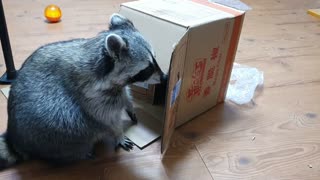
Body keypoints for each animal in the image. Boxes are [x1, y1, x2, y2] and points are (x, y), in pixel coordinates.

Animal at [0, 13, 164, 169]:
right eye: (148, 69)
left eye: (155, 59)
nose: (165, 77)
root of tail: (15, 139)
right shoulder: (91, 96)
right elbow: (107, 119)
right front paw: (118, 133)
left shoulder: (116, 87)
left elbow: (125, 95)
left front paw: (129, 105)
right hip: (50, 128)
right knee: (72, 120)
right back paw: (80, 152)